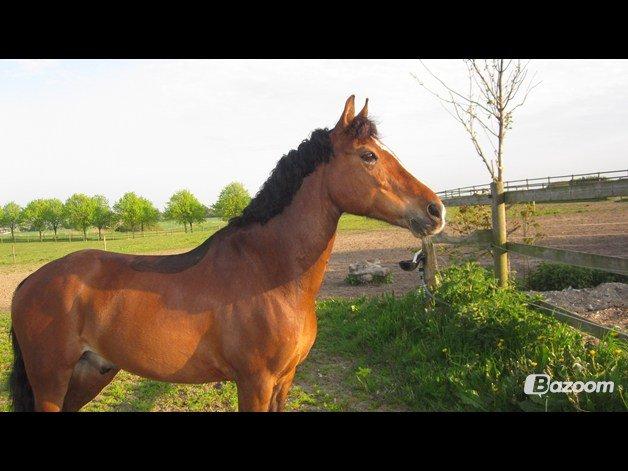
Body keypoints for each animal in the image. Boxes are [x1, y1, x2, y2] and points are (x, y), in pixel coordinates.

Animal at [8, 97, 442, 412]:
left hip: (89, 375)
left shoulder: (283, 382)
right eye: (369, 155)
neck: (269, 273)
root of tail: (27, 283)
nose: (435, 210)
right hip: (52, 380)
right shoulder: (254, 382)